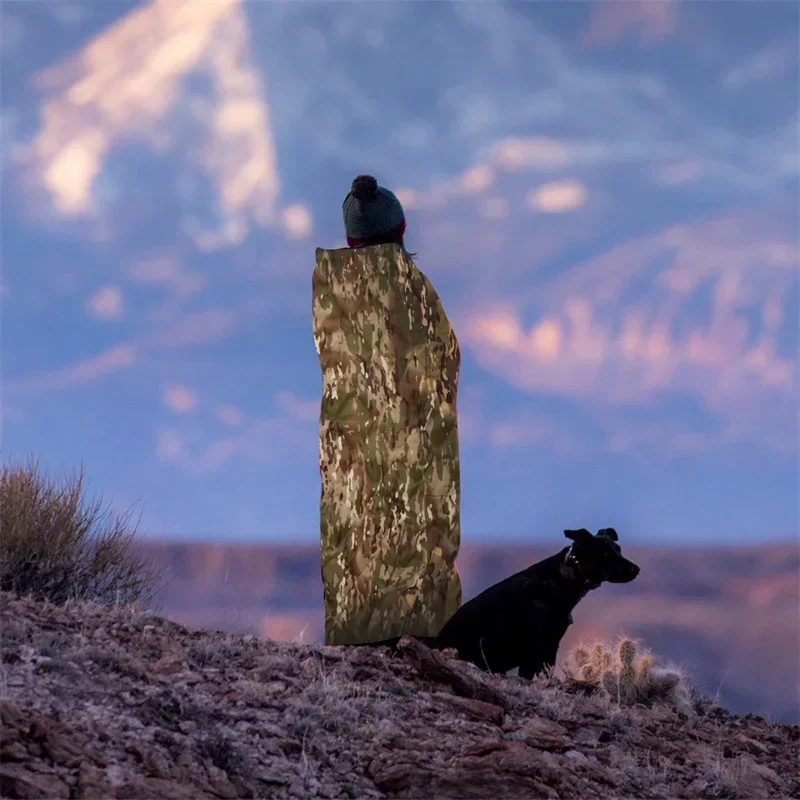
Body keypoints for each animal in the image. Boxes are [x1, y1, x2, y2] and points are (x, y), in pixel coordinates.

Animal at [360, 528, 636, 680]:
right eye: (605, 554)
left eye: (619, 549)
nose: (637, 569)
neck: (564, 577)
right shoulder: (537, 649)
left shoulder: (550, 647)